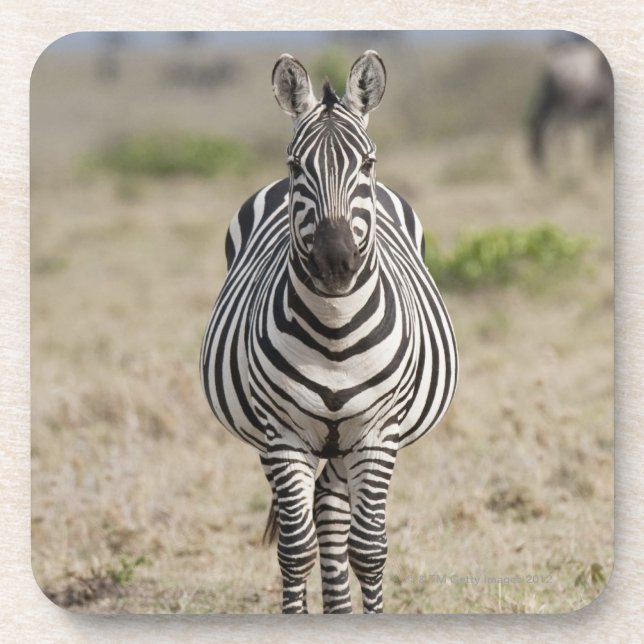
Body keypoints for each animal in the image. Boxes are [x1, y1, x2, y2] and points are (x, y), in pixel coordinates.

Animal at [201, 50, 458, 613]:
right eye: (297, 167)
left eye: (367, 164)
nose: (336, 262)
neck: (335, 333)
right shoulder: (282, 433)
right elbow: (296, 550)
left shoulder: (379, 432)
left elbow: (368, 549)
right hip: (278, 436)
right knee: (314, 522)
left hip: (346, 444)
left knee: (334, 519)